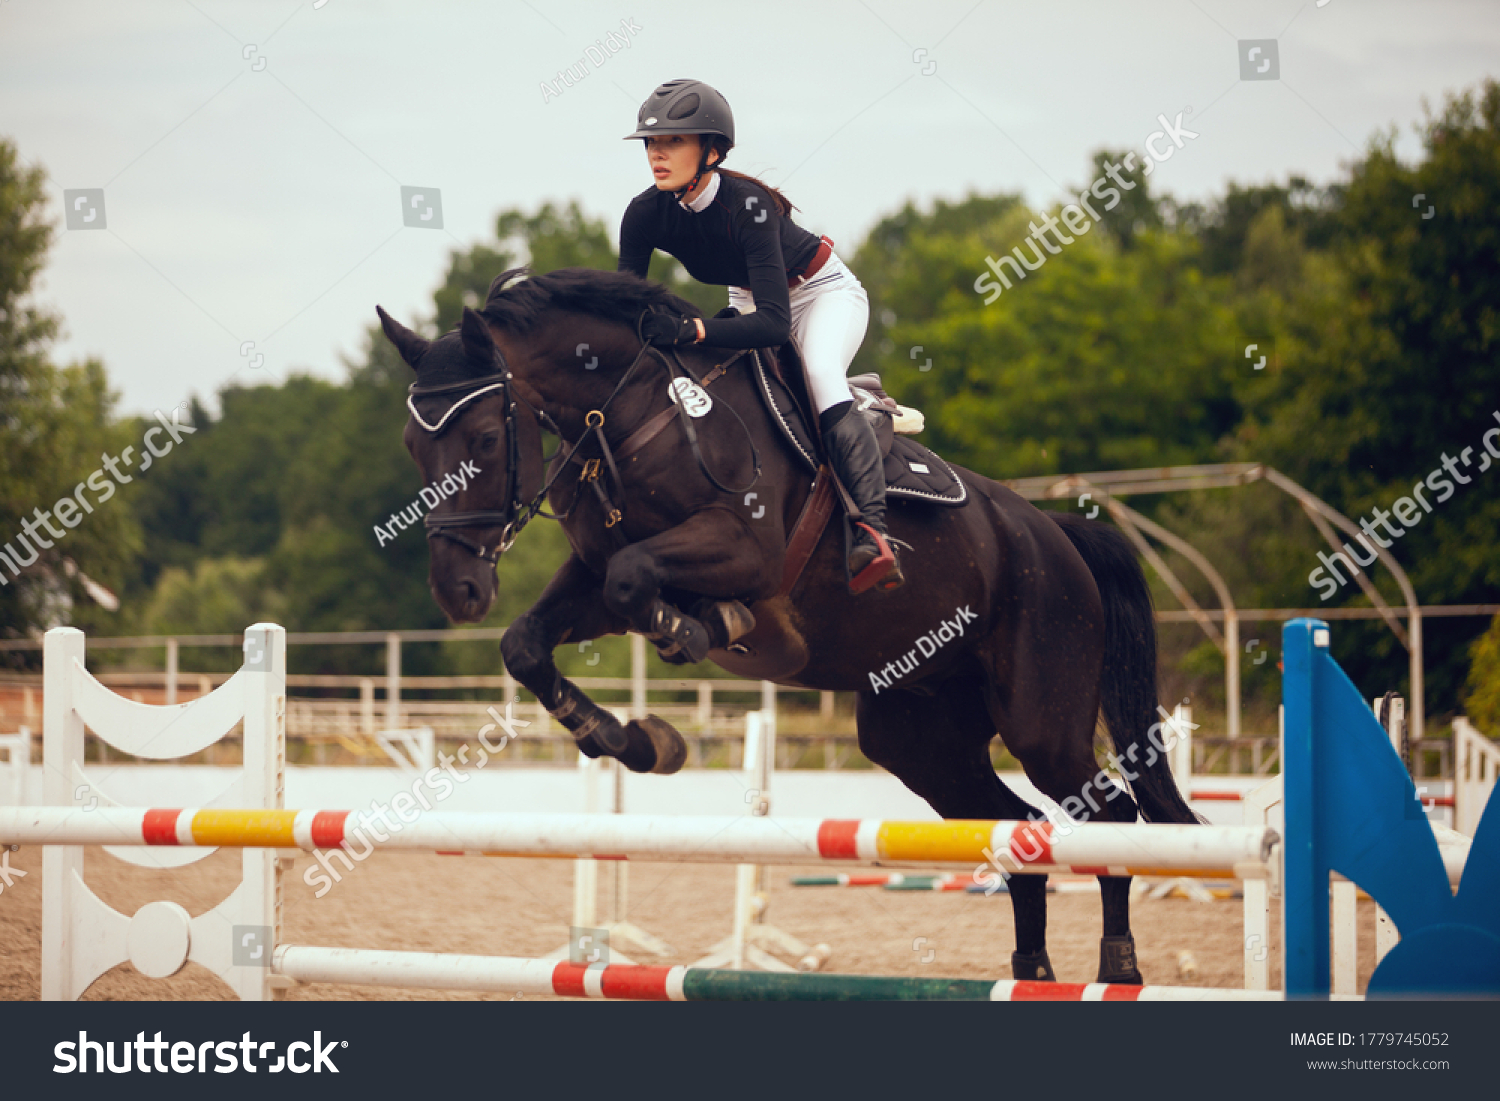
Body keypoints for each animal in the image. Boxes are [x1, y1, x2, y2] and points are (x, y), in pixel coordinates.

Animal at [378, 265, 1197, 985]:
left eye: (486, 441)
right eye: (412, 448)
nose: (459, 590)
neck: (631, 409)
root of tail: (1057, 533)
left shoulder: (740, 547)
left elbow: (638, 578)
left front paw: (706, 631)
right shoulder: (590, 580)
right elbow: (529, 641)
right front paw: (636, 740)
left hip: (1041, 720)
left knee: (1110, 814)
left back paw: (1117, 969)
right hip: (918, 737)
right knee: (1015, 827)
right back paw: (1033, 972)